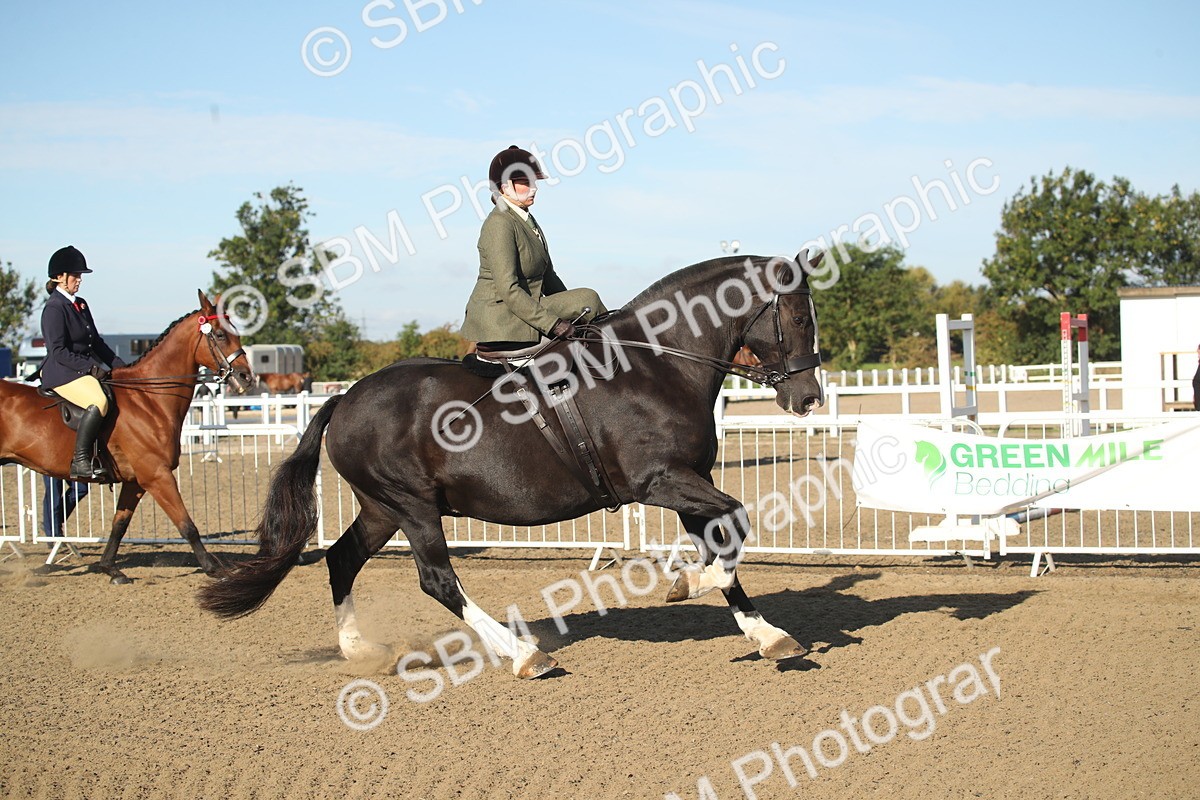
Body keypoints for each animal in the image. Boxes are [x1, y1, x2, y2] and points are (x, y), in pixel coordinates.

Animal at [0, 291, 254, 583]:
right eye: (221, 335)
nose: (247, 378)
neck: (148, 399)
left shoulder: (135, 481)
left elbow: (119, 524)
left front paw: (111, 568)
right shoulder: (157, 475)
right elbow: (186, 524)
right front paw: (214, 568)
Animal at [200, 252, 825, 677]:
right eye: (797, 317)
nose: (810, 397)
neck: (655, 365)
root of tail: (345, 399)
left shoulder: (692, 479)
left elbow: (726, 542)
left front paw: (768, 635)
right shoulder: (660, 482)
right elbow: (734, 527)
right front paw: (685, 584)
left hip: (382, 509)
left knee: (341, 561)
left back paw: (360, 650)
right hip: (412, 507)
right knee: (437, 580)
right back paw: (524, 654)